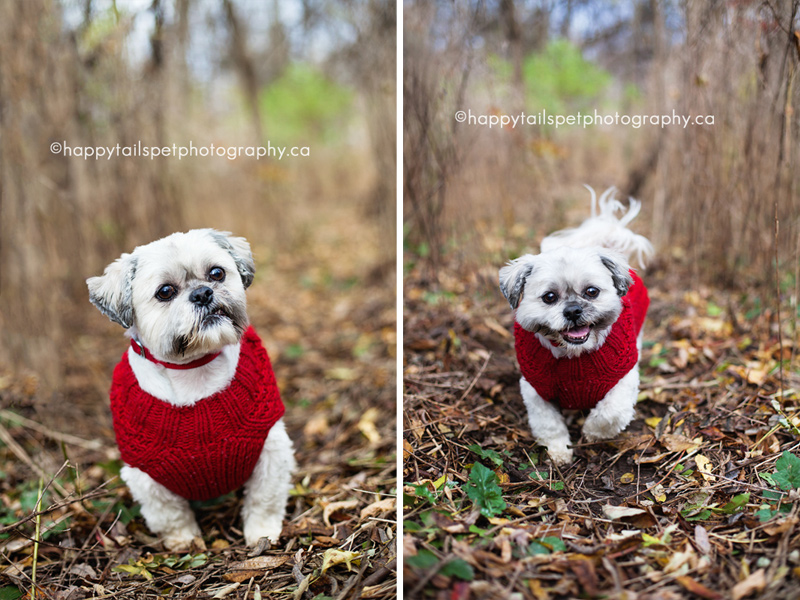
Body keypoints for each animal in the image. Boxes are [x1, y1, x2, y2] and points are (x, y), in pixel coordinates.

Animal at [86, 229, 296, 548]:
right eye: (165, 292)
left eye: (217, 273)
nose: (202, 293)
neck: (194, 369)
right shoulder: (146, 475)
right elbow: (171, 515)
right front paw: (184, 542)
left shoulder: (270, 446)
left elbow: (264, 498)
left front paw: (262, 534)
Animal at [504, 186, 652, 464]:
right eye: (549, 297)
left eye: (592, 291)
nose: (573, 310)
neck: (575, 356)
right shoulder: (535, 389)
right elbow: (549, 424)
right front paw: (559, 451)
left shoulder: (624, 378)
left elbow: (610, 413)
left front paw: (593, 433)